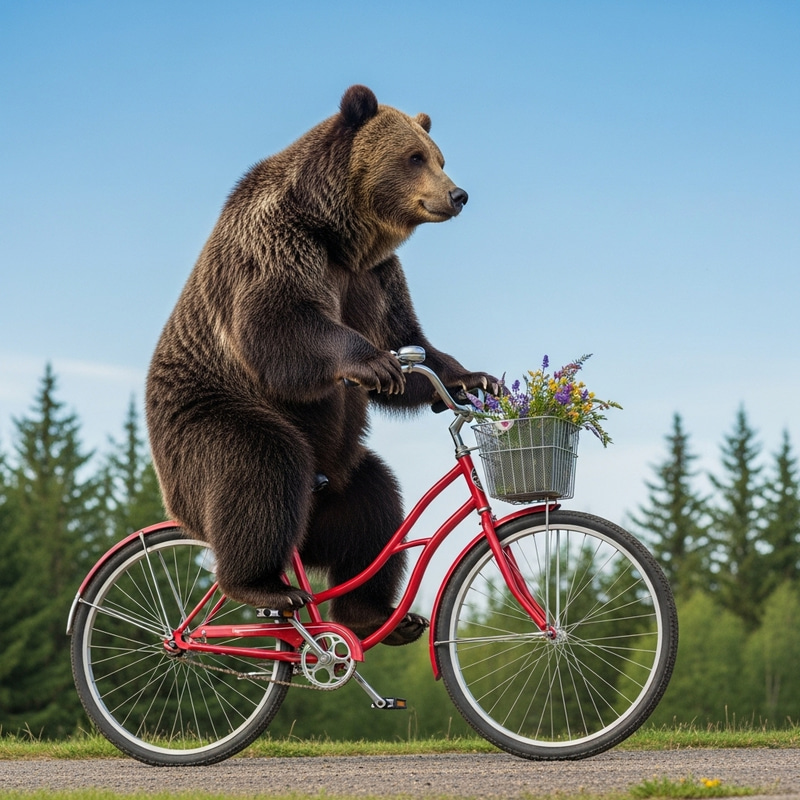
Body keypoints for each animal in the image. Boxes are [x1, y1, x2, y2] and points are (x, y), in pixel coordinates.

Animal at [145, 85, 494, 645]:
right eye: (414, 157)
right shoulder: (280, 244)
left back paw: (376, 615)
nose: (458, 194)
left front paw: (470, 378)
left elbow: (409, 339)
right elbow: (281, 325)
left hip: (340, 478)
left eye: (439, 157)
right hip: (206, 422)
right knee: (260, 464)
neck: (341, 236)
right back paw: (262, 586)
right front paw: (374, 364)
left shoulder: (375, 277)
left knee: (374, 505)